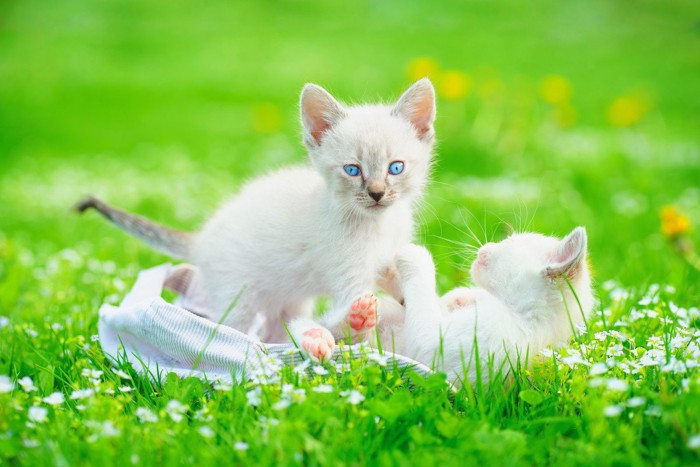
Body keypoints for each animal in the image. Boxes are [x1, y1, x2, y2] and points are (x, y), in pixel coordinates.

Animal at [78, 79, 438, 362]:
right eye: (353, 170)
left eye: (395, 167)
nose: (377, 193)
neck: (378, 225)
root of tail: (203, 237)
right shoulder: (349, 274)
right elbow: (359, 319)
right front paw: (362, 327)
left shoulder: (387, 254)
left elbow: (394, 276)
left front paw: (409, 298)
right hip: (238, 296)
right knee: (236, 328)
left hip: (289, 296)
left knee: (279, 327)